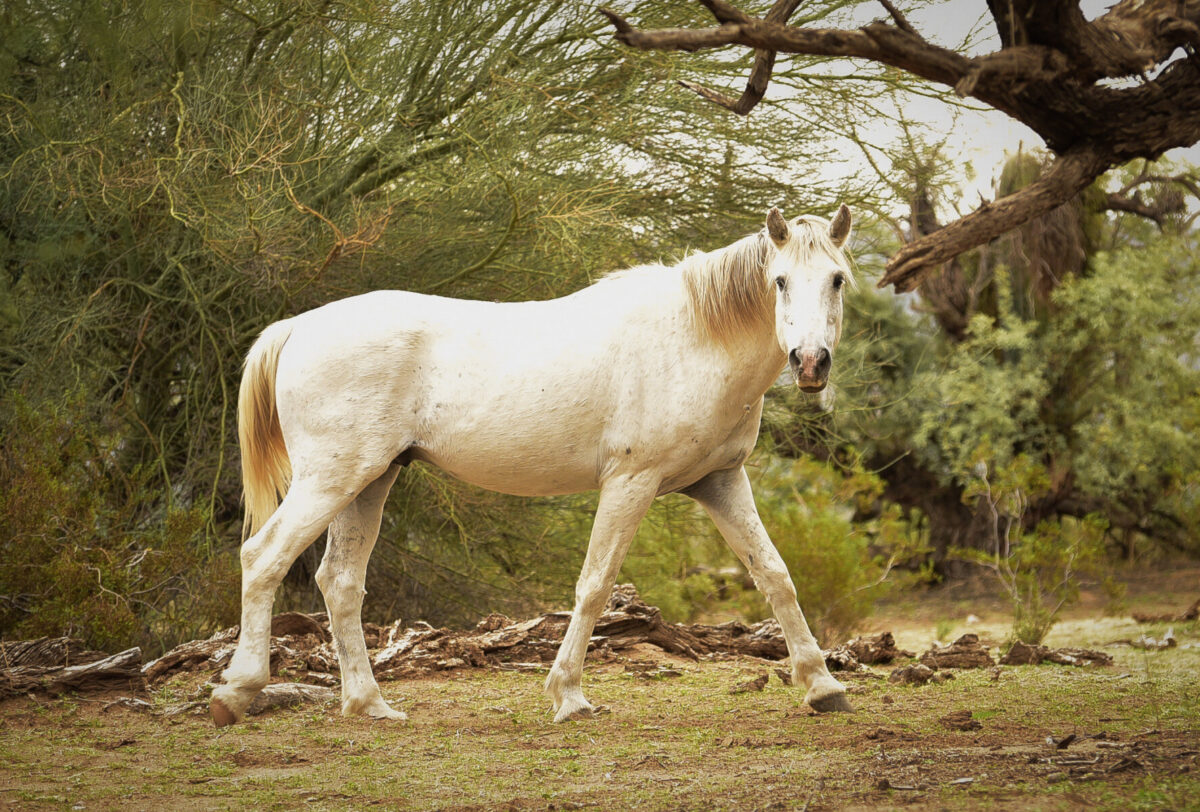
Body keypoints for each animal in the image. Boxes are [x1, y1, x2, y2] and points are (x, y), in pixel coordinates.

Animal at [210, 205, 857, 727]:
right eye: (779, 281)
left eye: (837, 279)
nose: (810, 362)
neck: (694, 338)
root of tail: (299, 326)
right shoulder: (631, 483)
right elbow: (595, 585)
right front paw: (568, 696)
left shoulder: (719, 482)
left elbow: (774, 575)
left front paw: (823, 687)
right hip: (330, 480)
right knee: (263, 558)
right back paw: (237, 693)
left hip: (370, 481)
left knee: (340, 582)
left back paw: (369, 704)